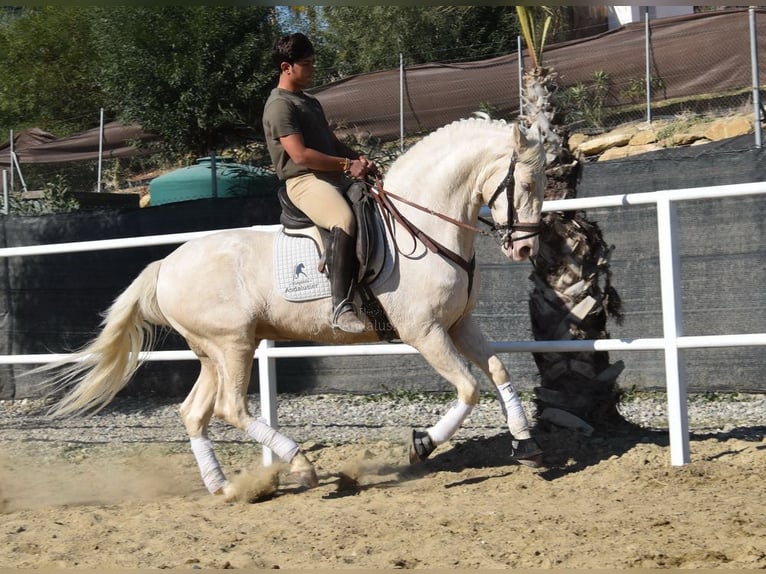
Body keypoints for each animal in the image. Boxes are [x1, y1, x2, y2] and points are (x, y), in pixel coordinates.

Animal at [39, 119, 548, 502]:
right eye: (524, 184)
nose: (525, 249)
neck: (419, 226)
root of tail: (166, 265)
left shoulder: (459, 323)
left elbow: (499, 369)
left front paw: (525, 441)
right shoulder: (424, 332)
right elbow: (468, 388)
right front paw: (422, 444)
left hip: (211, 353)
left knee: (193, 413)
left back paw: (226, 488)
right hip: (234, 345)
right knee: (229, 408)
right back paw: (301, 466)